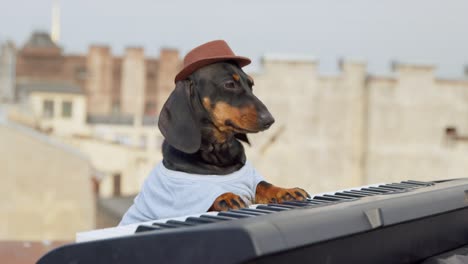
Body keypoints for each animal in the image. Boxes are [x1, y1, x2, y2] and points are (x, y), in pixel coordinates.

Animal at [158, 60, 310, 211]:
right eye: (230, 84)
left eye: (251, 84)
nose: (270, 120)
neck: (218, 151)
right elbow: (205, 191)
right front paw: (226, 197)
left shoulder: (252, 179)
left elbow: (263, 184)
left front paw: (286, 191)